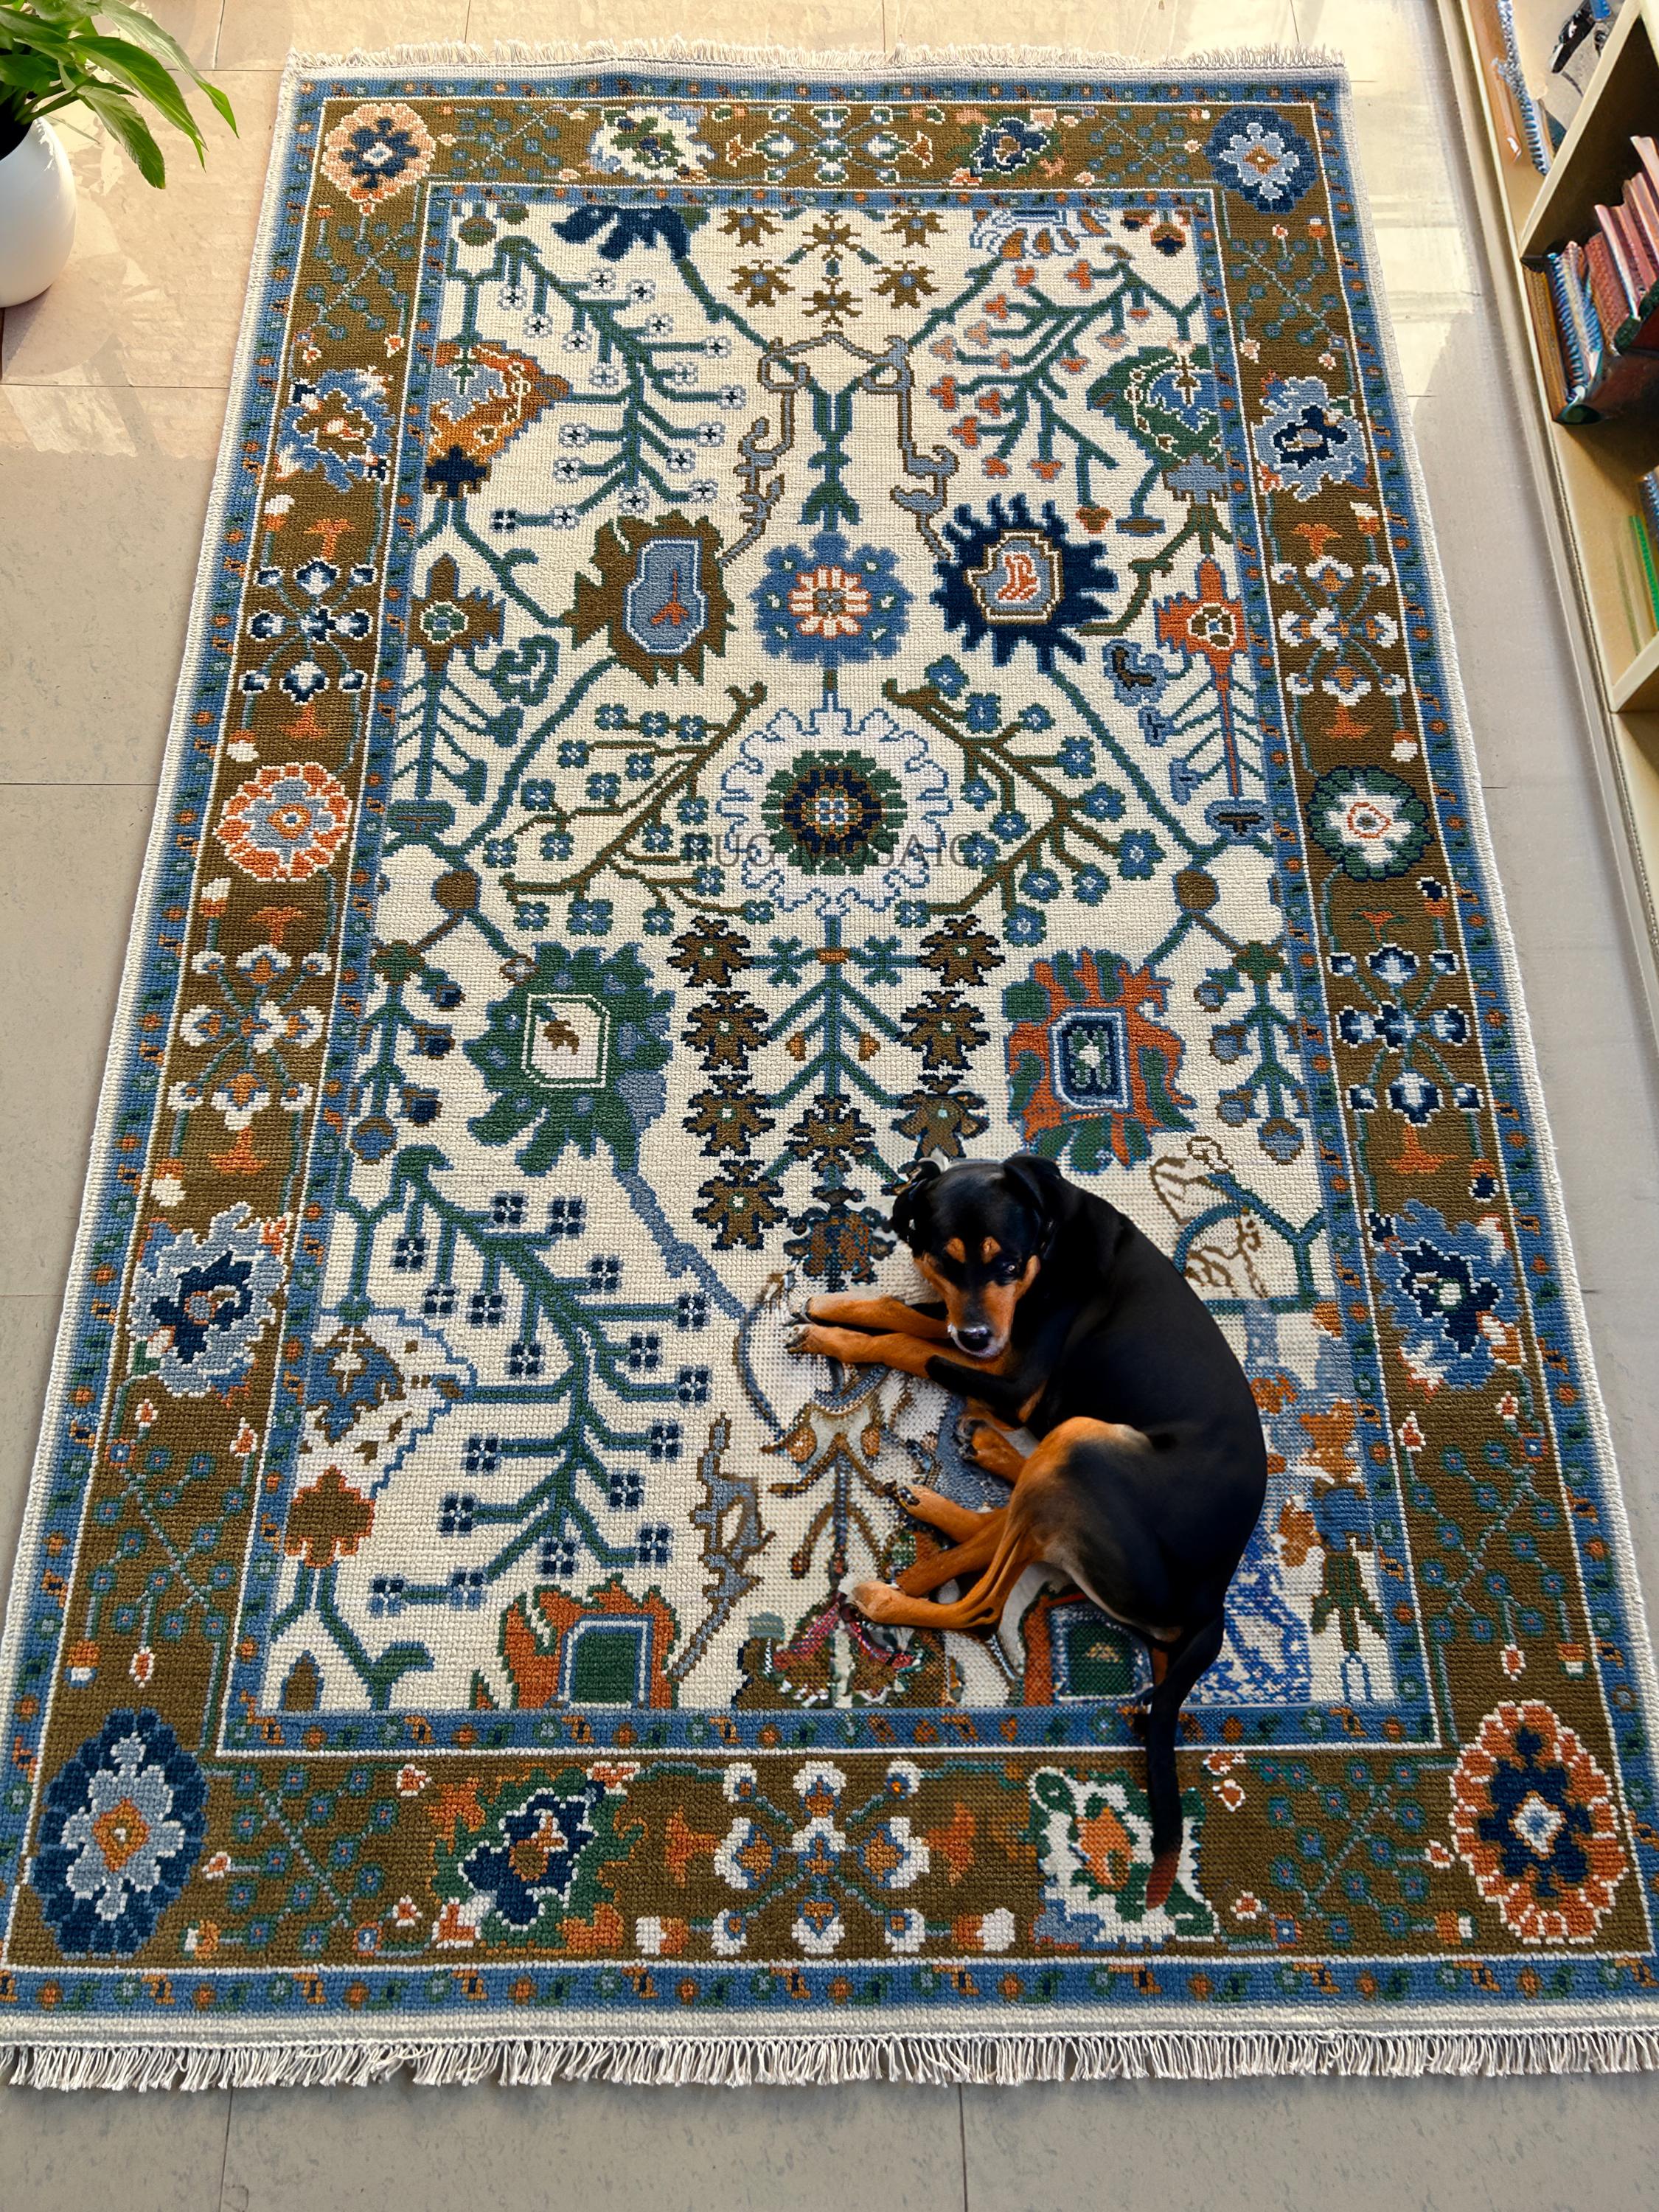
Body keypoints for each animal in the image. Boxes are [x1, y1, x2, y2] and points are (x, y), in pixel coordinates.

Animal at [788, 1151, 1268, 1908]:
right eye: (947, 1262)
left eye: (1006, 1264)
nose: (980, 1336)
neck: (1052, 1238)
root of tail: (1212, 1597)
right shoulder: (976, 1336)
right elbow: (906, 1311)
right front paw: (836, 1309)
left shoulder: (1011, 1378)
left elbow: (906, 1343)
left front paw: (838, 1334)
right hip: (1070, 1459)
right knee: (1003, 1527)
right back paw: (960, 1479)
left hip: (1078, 1444)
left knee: (986, 1600)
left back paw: (890, 1592)